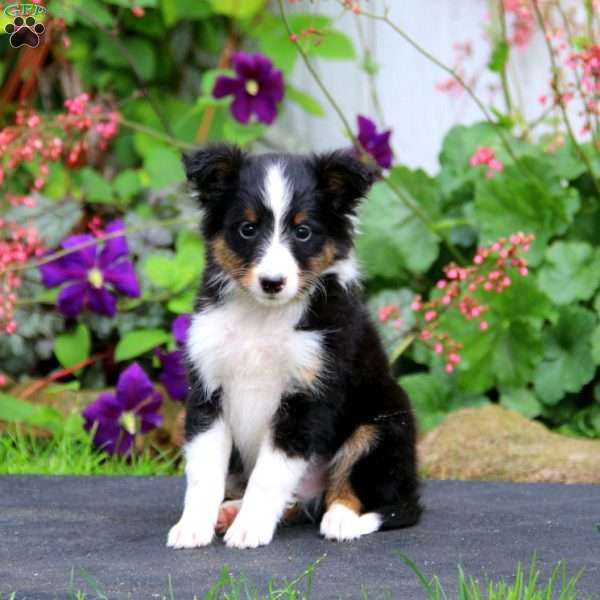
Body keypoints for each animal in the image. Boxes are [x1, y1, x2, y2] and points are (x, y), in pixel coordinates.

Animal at [166, 144, 422, 548]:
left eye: (303, 232)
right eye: (247, 229)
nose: (273, 282)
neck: (262, 316)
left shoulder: (308, 396)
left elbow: (269, 475)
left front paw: (250, 528)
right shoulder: (208, 390)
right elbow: (204, 471)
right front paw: (193, 526)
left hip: (382, 424)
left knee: (368, 494)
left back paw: (341, 520)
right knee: (296, 500)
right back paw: (229, 510)